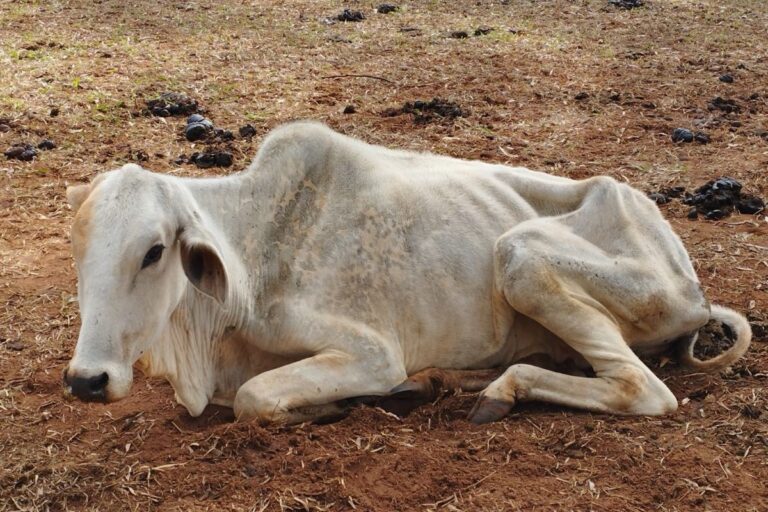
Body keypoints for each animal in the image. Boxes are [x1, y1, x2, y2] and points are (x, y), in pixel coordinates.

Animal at [64, 121, 752, 424]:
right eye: (78, 248)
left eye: (154, 251)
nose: (86, 380)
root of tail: (688, 277)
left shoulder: (370, 350)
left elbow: (256, 399)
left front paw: (334, 408)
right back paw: (451, 381)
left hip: (521, 256)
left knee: (644, 390)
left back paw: (497, 392)